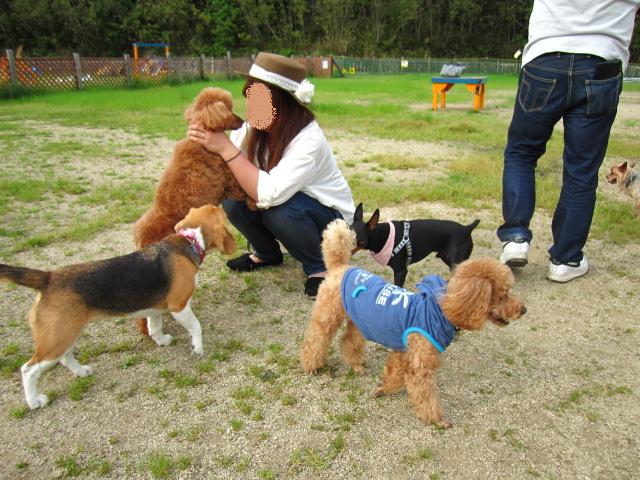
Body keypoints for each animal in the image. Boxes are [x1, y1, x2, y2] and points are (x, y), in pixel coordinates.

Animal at [0, 205, 236, 410]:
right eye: (220, 211)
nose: (224, 205)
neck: (189, 241)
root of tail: (48, 278)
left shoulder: (155, 309)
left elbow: (154, 326)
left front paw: (161, 341)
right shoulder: (180, 306)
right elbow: (196, 327)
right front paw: (198, 348)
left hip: (66, 331)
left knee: (66, 357)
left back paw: (81, 372)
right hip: (56, 339)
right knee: (28, 369)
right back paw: (34, 401)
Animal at [300, 219, 526, 427]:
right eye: (504, 294)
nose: (523, 310)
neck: (443, 308)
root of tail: (340, 266)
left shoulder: (405, 353)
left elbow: (395, 375)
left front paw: (382, 389)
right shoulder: (420, 362)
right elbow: (426, 395)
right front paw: (437, 420)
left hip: (359, 320)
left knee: (348, 341)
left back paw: (357, 366)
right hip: (328, 315)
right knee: (316, 339)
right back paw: (312, 365)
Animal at [351, 203, 480, 287]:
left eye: (354, 239)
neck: (381, 236)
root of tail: (467, 228)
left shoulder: (401, 271)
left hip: (456, 261)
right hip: (447, 258)